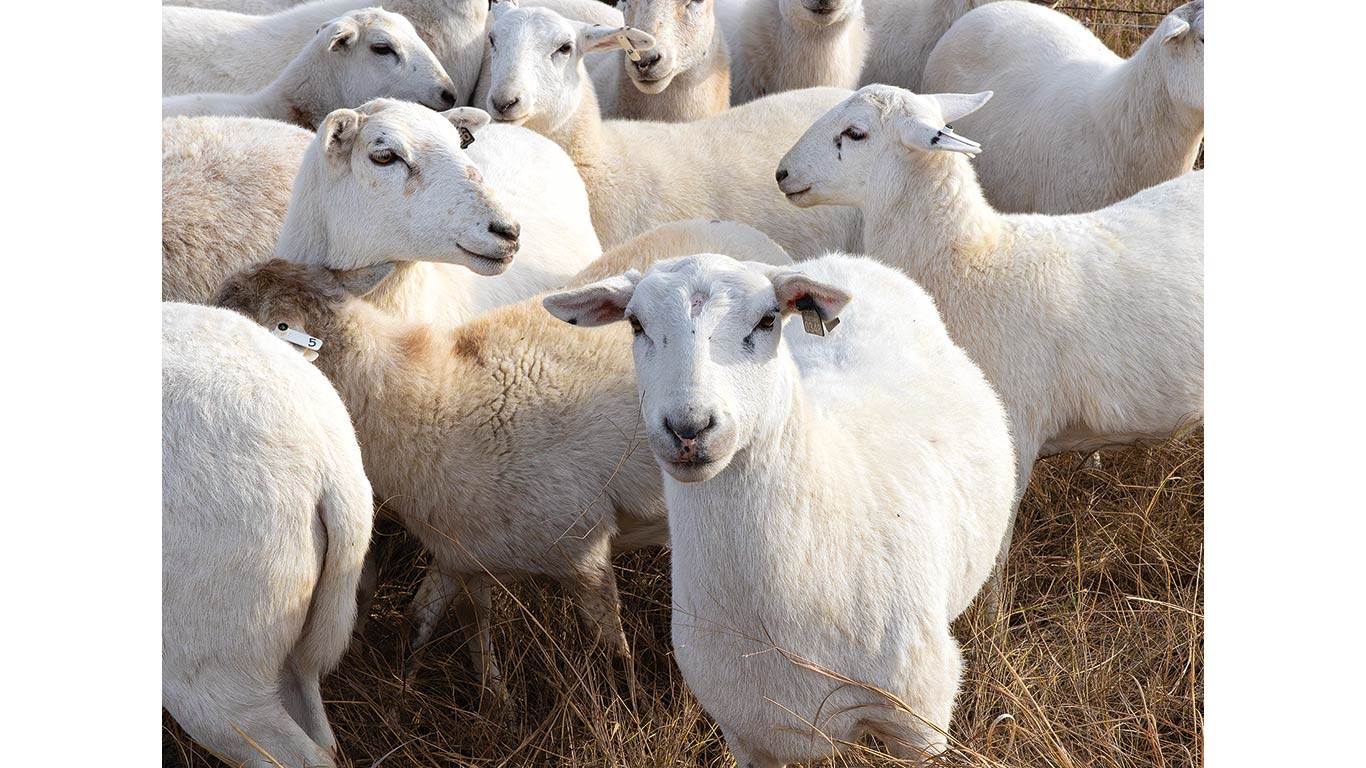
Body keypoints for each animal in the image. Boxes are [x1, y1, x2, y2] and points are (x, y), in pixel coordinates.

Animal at [213, 218, 791, 709]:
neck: (435, 399)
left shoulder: (581, 551)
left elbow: (610, 646)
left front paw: (626, 707)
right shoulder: (463, 550)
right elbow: (441, 620)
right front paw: (482, 701)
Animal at [542, 252, 1016, 766]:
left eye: (768, 320)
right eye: (635, 324)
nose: (689, 428)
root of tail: (842, 260)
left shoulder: (919, 721)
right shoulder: (748, 731)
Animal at [776, 84, 1203, 604]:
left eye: (855, 133)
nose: (782, 173)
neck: (974, 263)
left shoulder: (1013, 431)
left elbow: (995, 541)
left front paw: (993, 610)